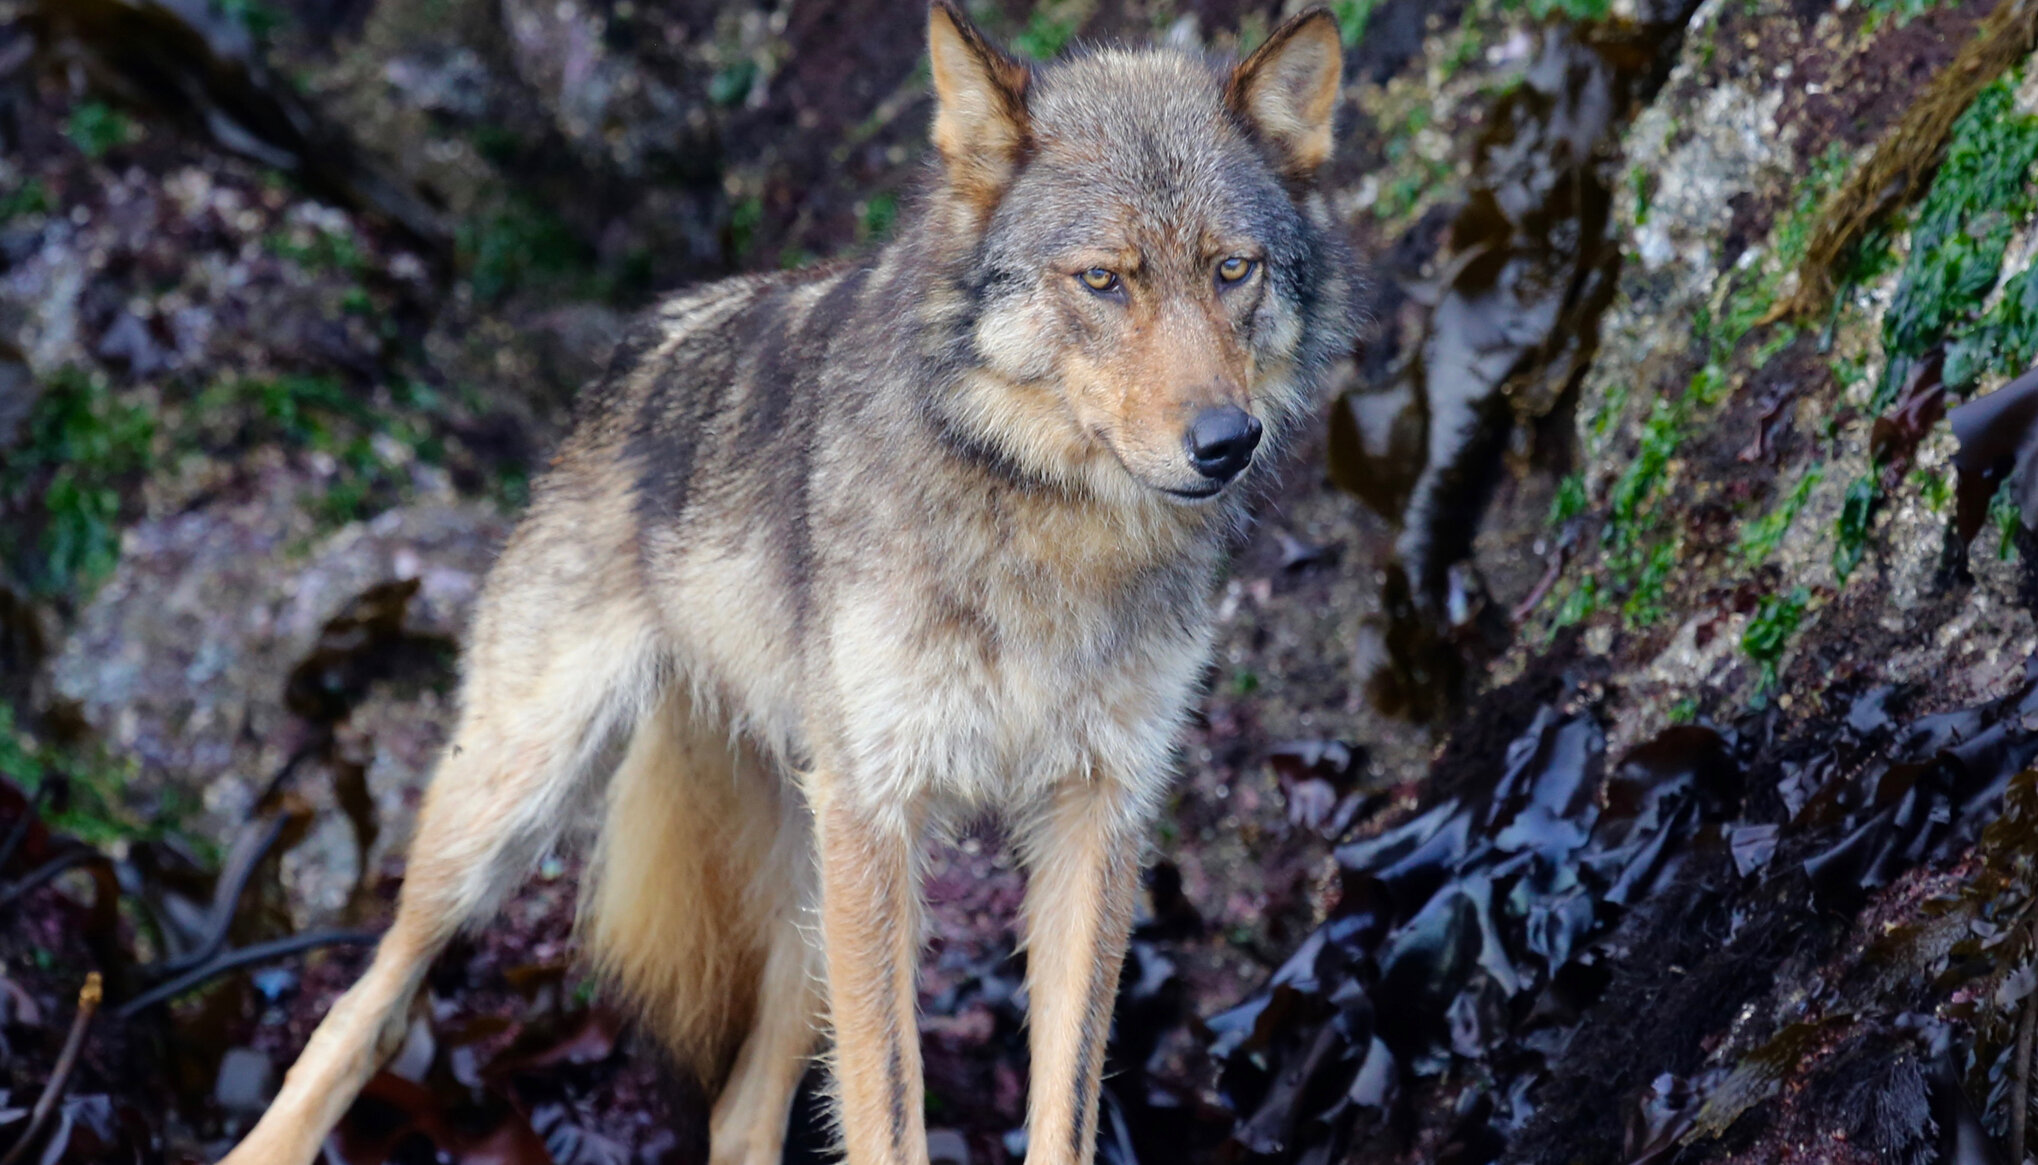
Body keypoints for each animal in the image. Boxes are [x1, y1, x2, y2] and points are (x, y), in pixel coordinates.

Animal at [219, 9, 1353, 1165]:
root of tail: (640, 344)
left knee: (739, 1110)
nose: (1226, 442)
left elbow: (1063, 1105)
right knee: (369, 997)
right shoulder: (880, 807)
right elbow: (890, 1113)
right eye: (1104, 280)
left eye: (1233, 269)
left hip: (816, 878)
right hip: (518, 808)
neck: (1050, 528)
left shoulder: (1097, 814)